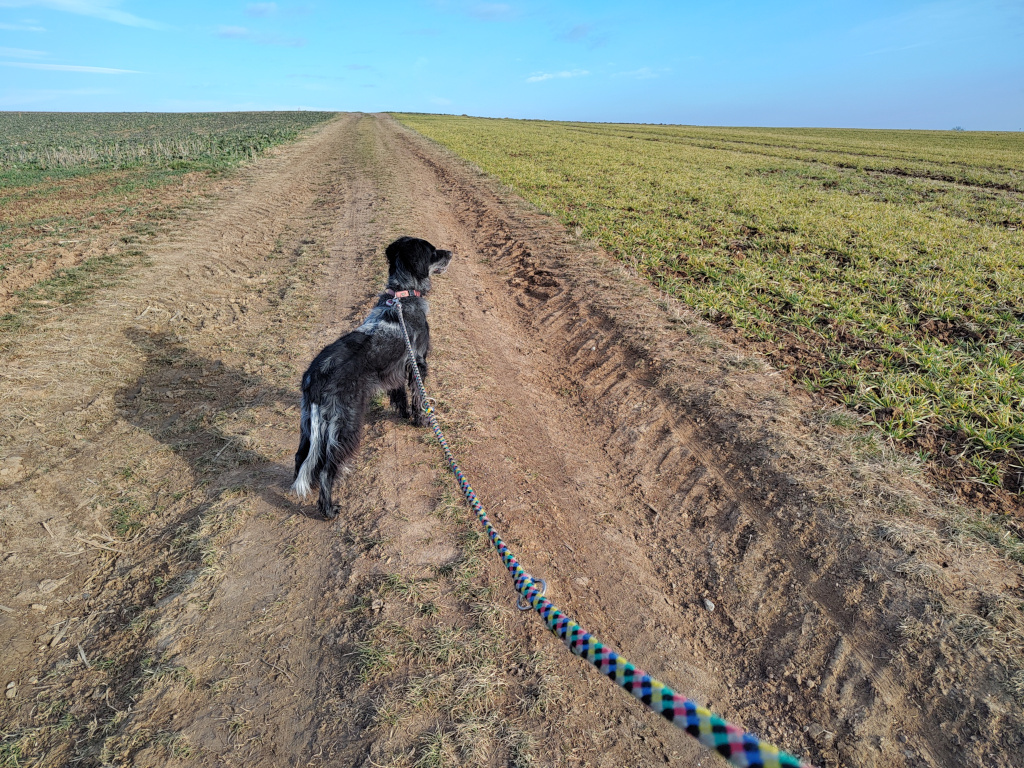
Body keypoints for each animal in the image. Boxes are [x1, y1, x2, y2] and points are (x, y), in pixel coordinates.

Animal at [291, 236, 453, 519]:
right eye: (434, 252)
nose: (452, 253)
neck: (402, 295)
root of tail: (315, 377)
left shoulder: (397, 370)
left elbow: (400, 396)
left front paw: (404, 414)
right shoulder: (418, 363)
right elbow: (418, 397)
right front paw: (420, 420)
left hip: (308, 425)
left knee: (301, 457)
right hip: (346, 424)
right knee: (326, 469)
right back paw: (328, 509)